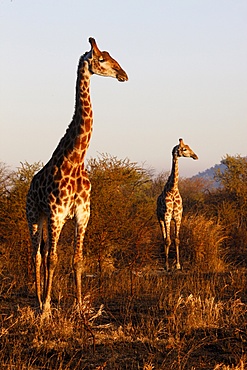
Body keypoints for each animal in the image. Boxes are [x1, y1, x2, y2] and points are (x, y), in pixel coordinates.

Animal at [26, 37, 128, 314]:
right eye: (101, 59)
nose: (123, 74)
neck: (75, 160)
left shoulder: (83, 215)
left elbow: (78, 260)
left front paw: (80, 305)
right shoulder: (57, 213)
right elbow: (53, 259)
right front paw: (46, 309)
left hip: (46, 218)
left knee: (43, 253)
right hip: (34, 215)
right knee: (37, 255)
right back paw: (39, 299)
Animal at [156, 137, 199, 270]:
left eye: (189, 147)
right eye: (184, 149)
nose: (195, 156)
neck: (173, 189)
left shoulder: (178, 217)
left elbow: (176, 240)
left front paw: (178, 264)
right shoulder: (167, 216)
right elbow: (168, 240)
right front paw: (167, 265)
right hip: (160, 218)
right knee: (164, 238)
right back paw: (165, 263)